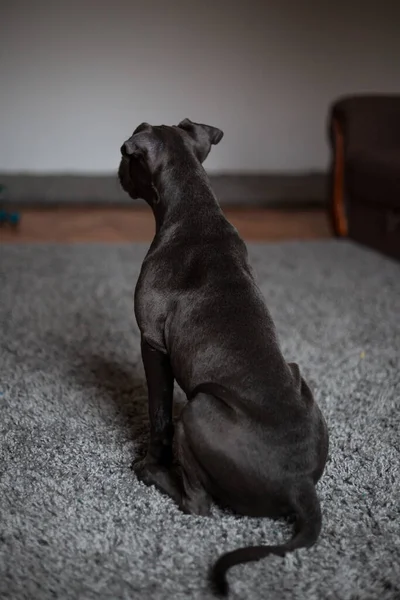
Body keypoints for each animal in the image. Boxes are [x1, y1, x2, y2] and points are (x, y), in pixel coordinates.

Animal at [118, 118, 328, 596]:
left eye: (126, 156)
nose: (117, 172)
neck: (192, 207)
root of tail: (299, 486)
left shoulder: (151, 343)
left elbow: (158, 416)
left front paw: (151, 457)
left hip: (199, 409)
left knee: (198, 503)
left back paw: (154, 475)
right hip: (298, 376)